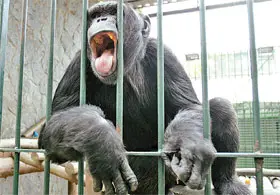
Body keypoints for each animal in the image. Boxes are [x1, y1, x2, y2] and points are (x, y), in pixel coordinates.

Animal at [38, 1, 250, 195]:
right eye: (95, 15)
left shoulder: (163, 54)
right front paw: (102, 143)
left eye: (113, 12)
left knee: (221, 107)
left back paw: (228, 184)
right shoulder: (78, 63)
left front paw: (190, 145)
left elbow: (187, 106)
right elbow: (52, 126)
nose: (101, 19)